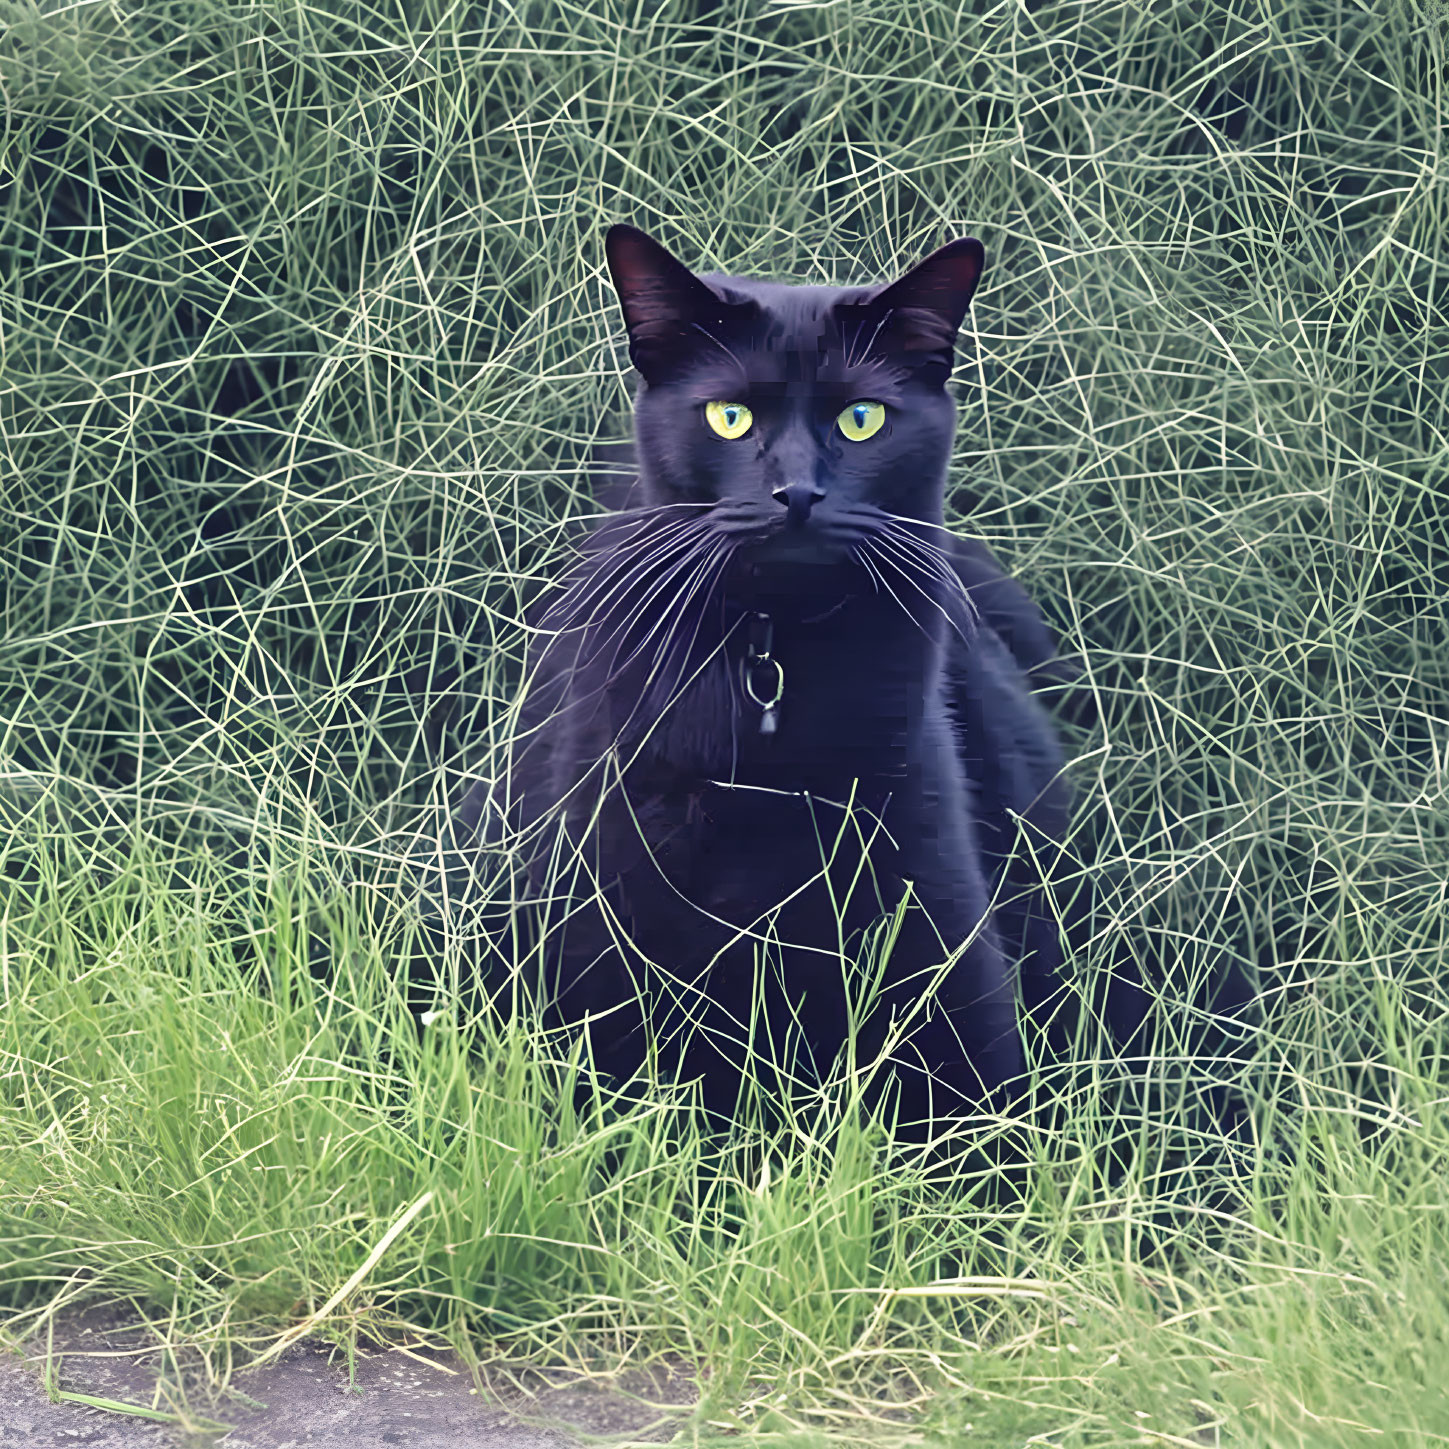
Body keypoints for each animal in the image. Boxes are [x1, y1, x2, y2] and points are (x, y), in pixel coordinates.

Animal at [457, 228, 1083, 1130]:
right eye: (730, 416)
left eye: (861, 419)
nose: (798, 493)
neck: (770, 667)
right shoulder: (596, 925)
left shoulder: (934, 931)